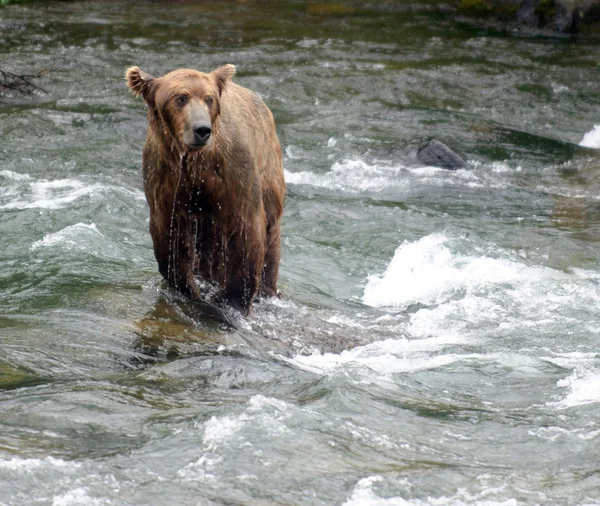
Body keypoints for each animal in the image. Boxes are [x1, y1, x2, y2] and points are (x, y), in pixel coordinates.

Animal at [125, 64, 284, 314]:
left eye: (209, 99)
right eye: (180, 97)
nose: (202, 129)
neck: (195, 160)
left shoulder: (232, 173)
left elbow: (246, 229)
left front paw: (232, 299)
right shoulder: (165, 179)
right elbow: (169, 234)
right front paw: (186, 287)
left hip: (268, 169)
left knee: (271, 231)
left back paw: (267, 290)